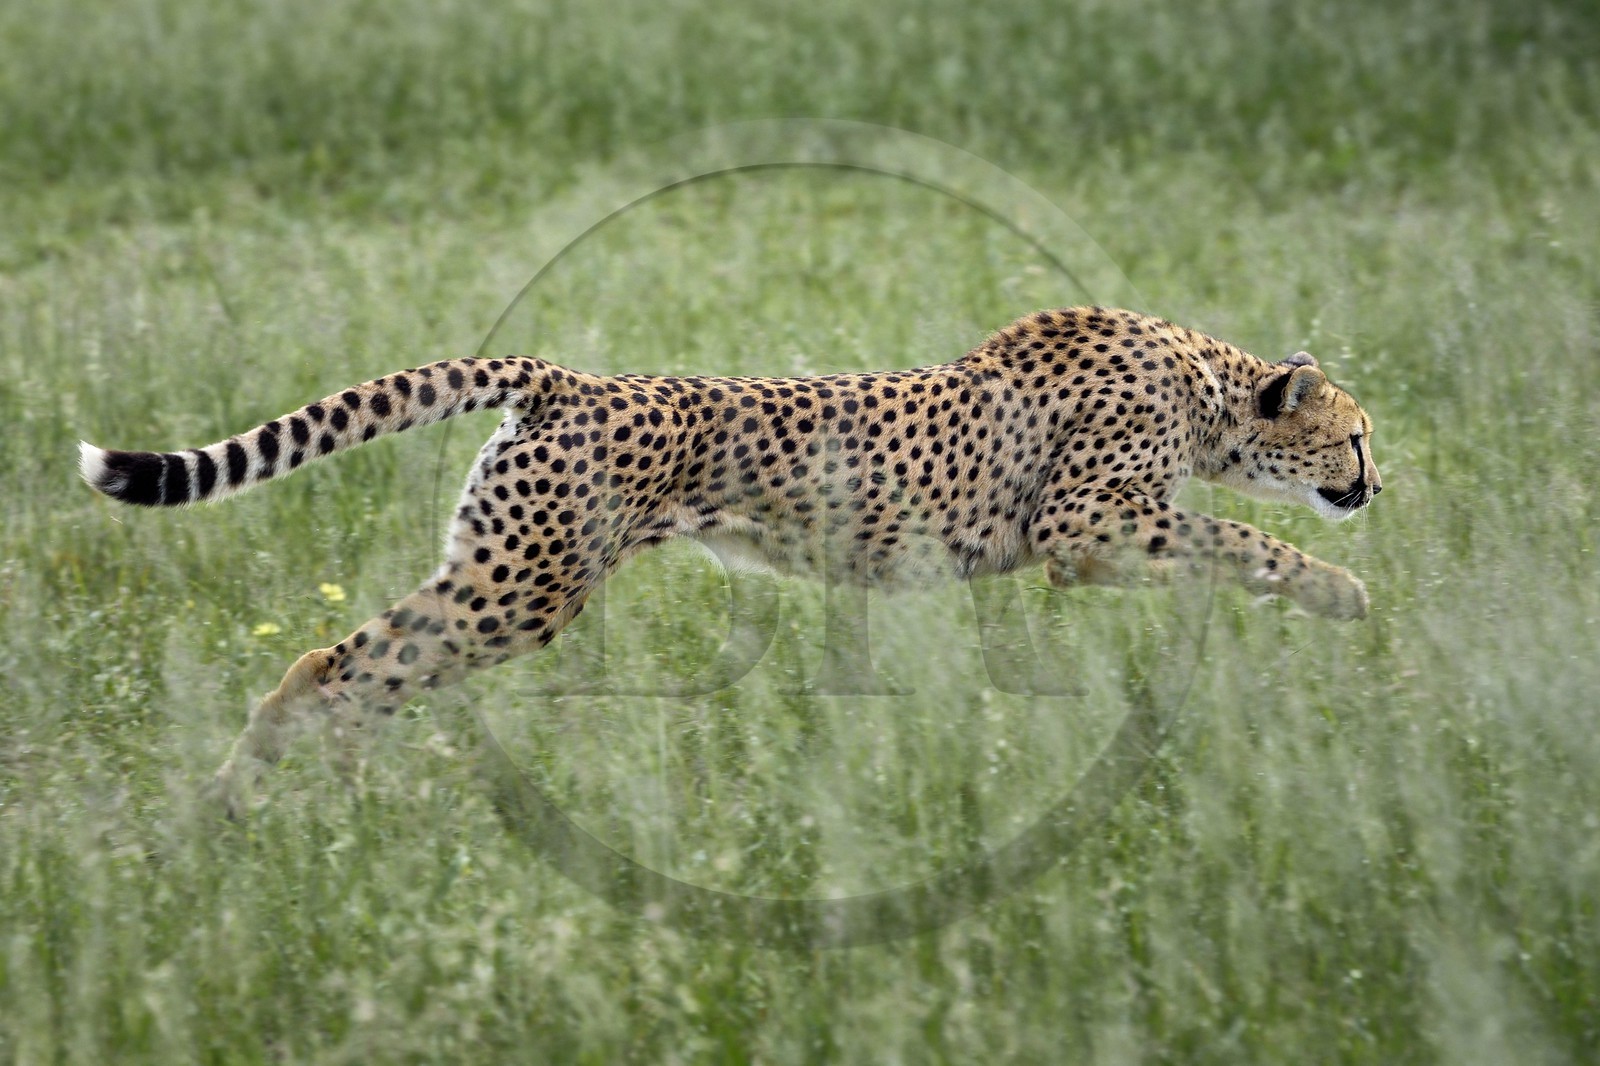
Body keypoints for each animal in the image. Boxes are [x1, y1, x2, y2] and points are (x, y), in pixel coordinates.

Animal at [80, 307, 1380, 816]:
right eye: (1356, 434)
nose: (1376, 482)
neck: (1206, 388)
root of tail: (571, 377)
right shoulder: (1086, 527)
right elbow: (1244, 538)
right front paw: (1344, 592)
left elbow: (1230, 537)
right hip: (524, 586)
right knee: (345, 666)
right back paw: (299, 807)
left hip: (501, 573)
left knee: (349, 669)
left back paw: (272, 810)